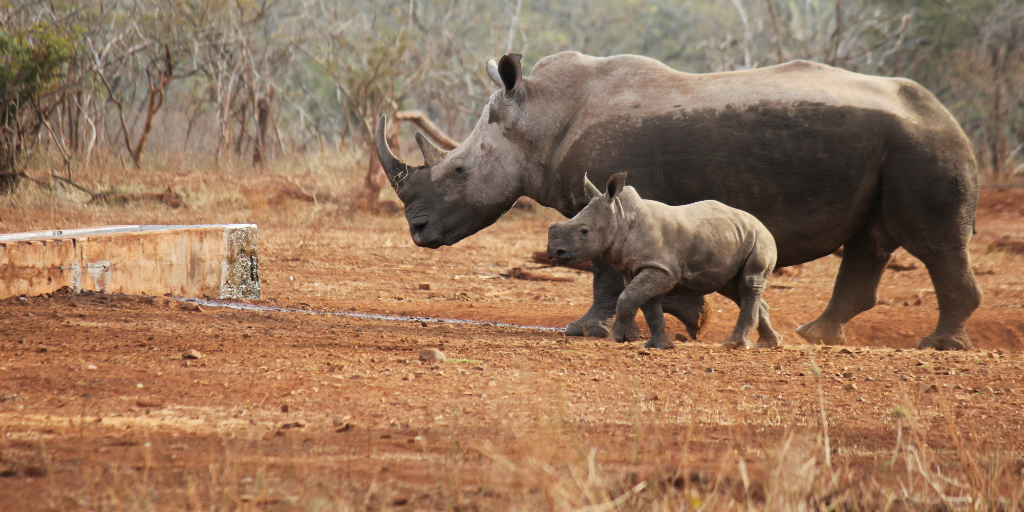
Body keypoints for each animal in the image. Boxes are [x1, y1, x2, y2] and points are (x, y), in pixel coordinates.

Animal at [548, 174, 778, 350]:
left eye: (584, 231)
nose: (554, 252)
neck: (621, 218)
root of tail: (760, 222)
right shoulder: (642, 268)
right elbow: (646, 304)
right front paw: (658, 346)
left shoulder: (661, 269)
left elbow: (628, 297)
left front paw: (622, 338)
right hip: (734, 238)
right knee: (734, 288)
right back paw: (768, 344)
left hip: (760, 238)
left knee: (749, 283)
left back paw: (734, 345)